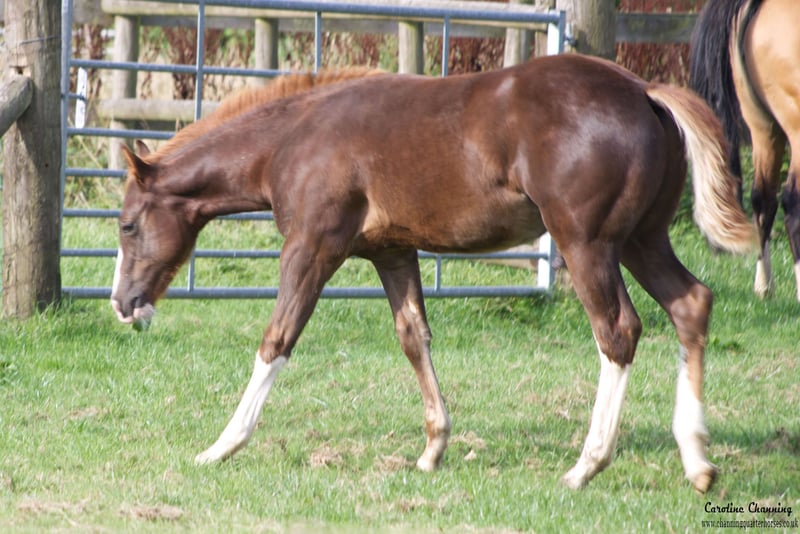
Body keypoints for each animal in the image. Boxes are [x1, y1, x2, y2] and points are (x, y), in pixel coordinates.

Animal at [110, 54, 756, 493]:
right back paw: (697, 461)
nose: (122, 303)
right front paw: (432, 450)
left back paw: (585, 466)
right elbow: (413, 337)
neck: (294, 138)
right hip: (643, 239)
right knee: (691, 304)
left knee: (618, 330)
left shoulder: (313, 246)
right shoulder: (393, 253)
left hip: (588, 243)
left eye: (126, 225)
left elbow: (278, 339)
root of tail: (644, 90)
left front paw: (222, 446)